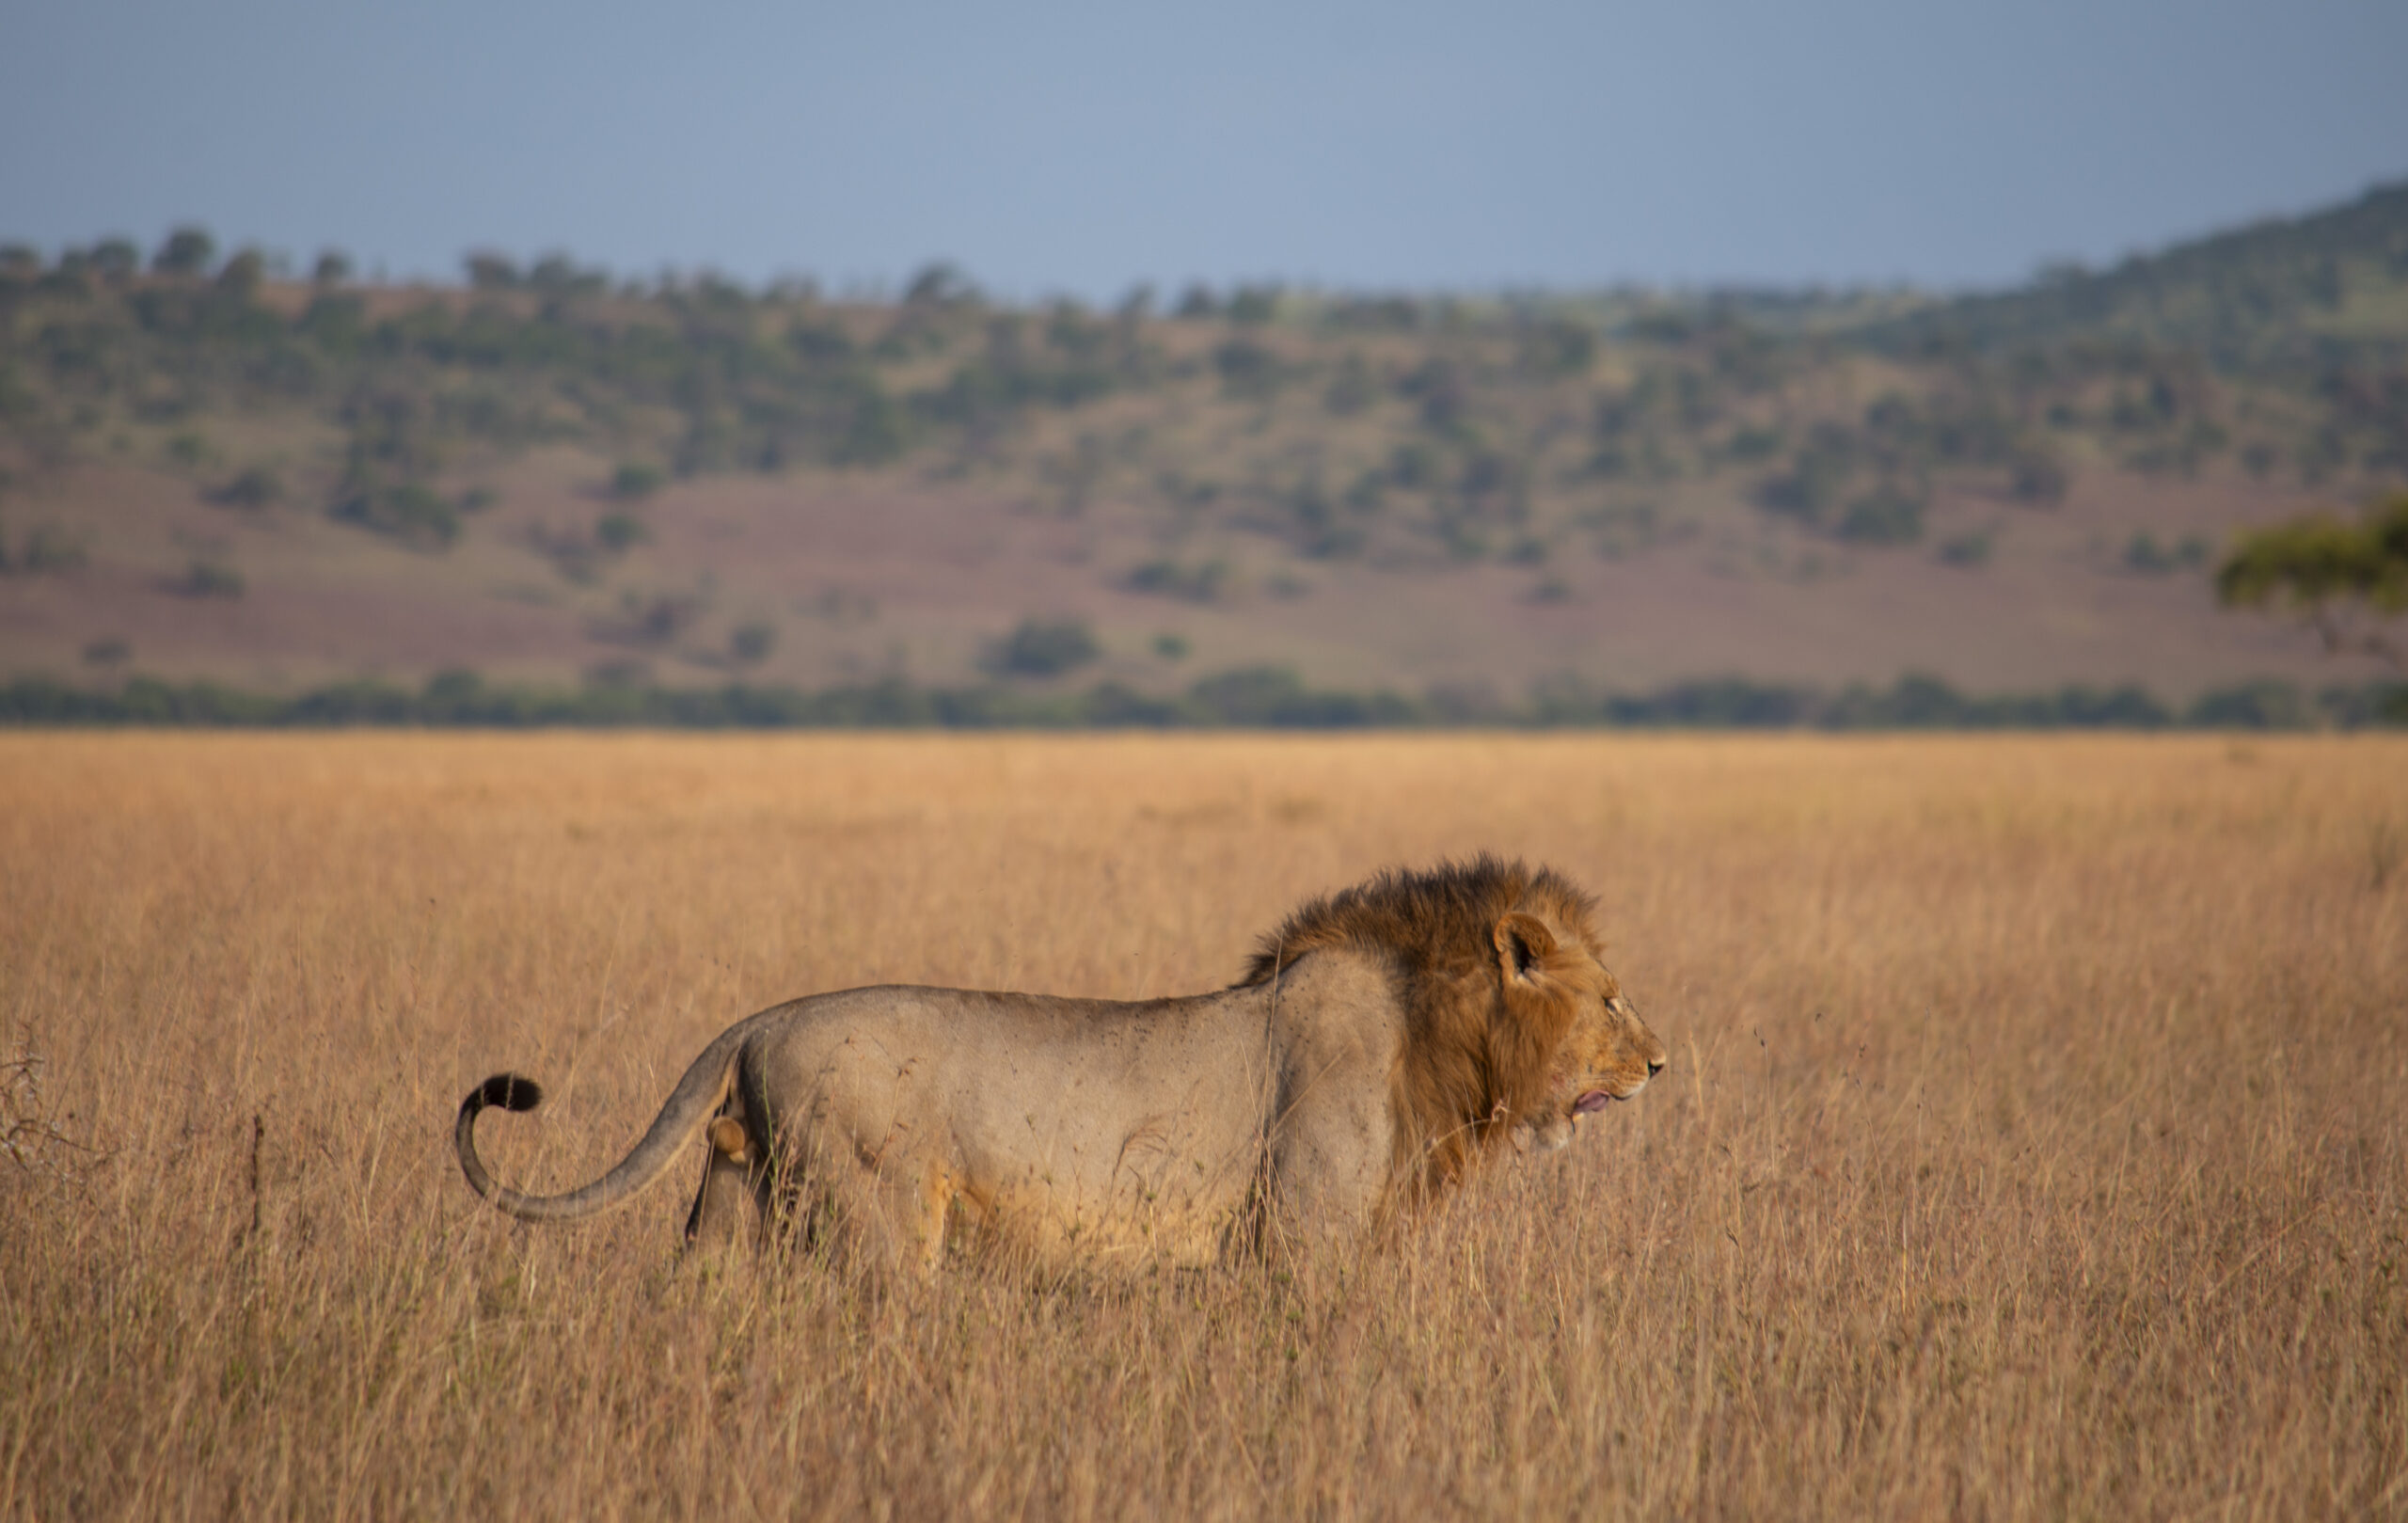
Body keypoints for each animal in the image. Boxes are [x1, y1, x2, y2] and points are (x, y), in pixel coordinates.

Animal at [454, 857, 1666, 1274]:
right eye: (1610, 996)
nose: (1661, 1061)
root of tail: (758, 1016)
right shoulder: (1303, 1235)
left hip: (731, 1195)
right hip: (882, 1217)